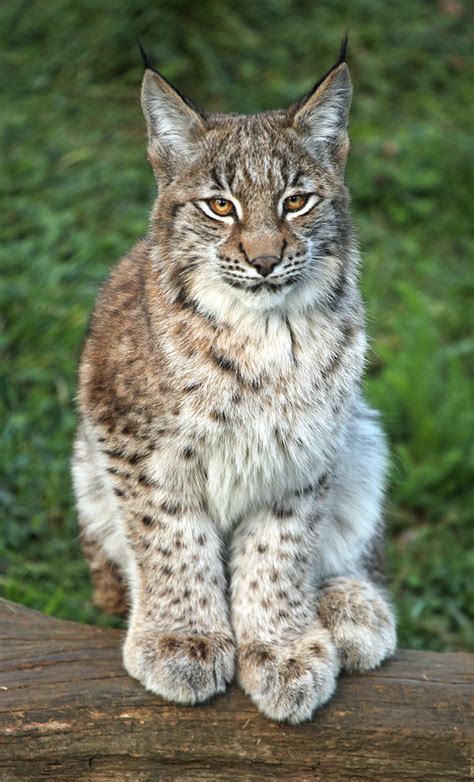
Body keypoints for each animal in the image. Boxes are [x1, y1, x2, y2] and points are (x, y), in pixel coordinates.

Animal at [73, 39, 396, 724]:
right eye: (219, 206)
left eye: (296, 201)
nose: (266, 261)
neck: (266, 332)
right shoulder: (131, 441)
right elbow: (170, 539)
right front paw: (183, 638)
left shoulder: (305, 450)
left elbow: (281, 551)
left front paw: (282, 647)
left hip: (361, 430)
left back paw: (351, 606)